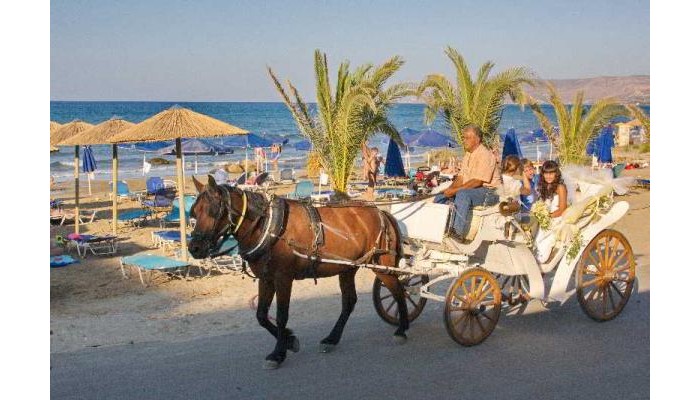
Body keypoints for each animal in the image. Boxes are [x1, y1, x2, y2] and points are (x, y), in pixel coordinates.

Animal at [188, 175, 410, 369]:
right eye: (194, 212)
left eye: (214, 211)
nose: (194, 248)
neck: (269, 227)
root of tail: (380, 213)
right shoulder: (266, 278)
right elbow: (261, 315)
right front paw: (289, 340)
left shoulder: (283, 279)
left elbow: (281, 315)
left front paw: (278, 353)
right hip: (347, 268)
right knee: (349, 301)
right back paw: (332, 338)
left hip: (381, 266)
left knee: (398, 290)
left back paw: (402, 328)